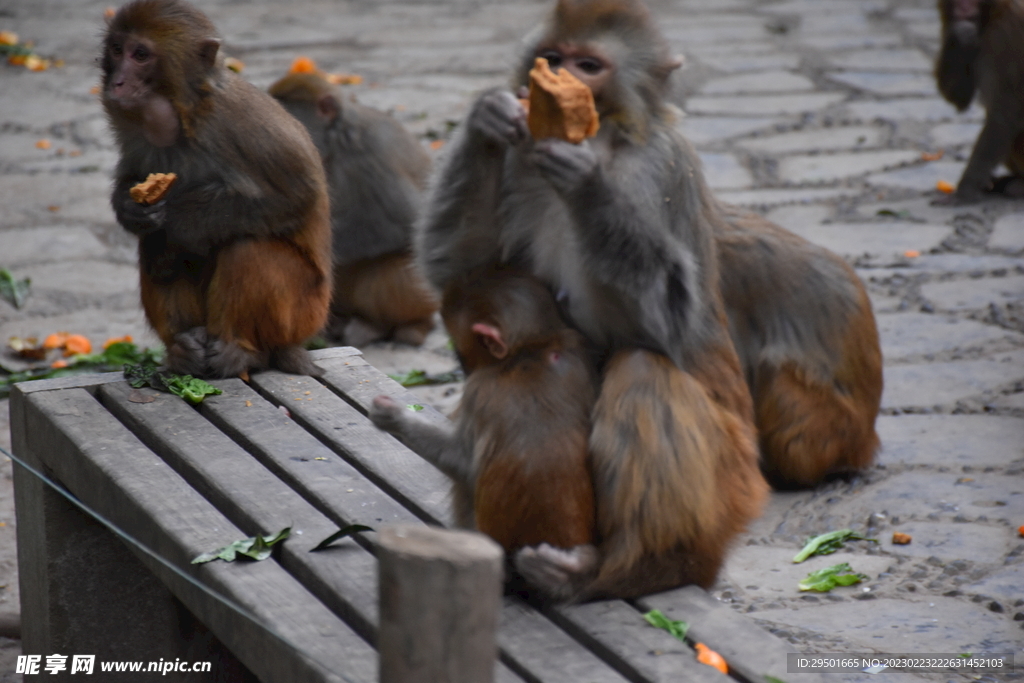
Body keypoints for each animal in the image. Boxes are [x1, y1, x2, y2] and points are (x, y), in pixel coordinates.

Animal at [102, 0, 329, 378]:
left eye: (141, 55)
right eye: (117, 50)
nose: (116, 81)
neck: (185, 112)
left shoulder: (238, 122)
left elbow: (296, 197)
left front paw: (178, 218)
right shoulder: (136, 133)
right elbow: (132, 179)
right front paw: (130, 208)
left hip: (303, 314)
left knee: (248, 247)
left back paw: (243, 351)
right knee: (154, 249)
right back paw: (184, 349)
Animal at [415, 0, 770, 602]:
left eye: (588, 65)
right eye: (553, 58)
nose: (561, 75)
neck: (605, 137)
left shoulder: (663, 169)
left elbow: (670, 320)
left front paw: (587, 185)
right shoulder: (521, 161)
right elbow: (462, 269)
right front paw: (486, 118)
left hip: (730, 485)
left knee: (645, 371)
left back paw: (634, 568)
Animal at [937, 0, 1024, 202]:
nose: (963, 7)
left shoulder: (1010, 31)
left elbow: (1006, 113)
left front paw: (964, 190)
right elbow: (959, 99)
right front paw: (961, 34)